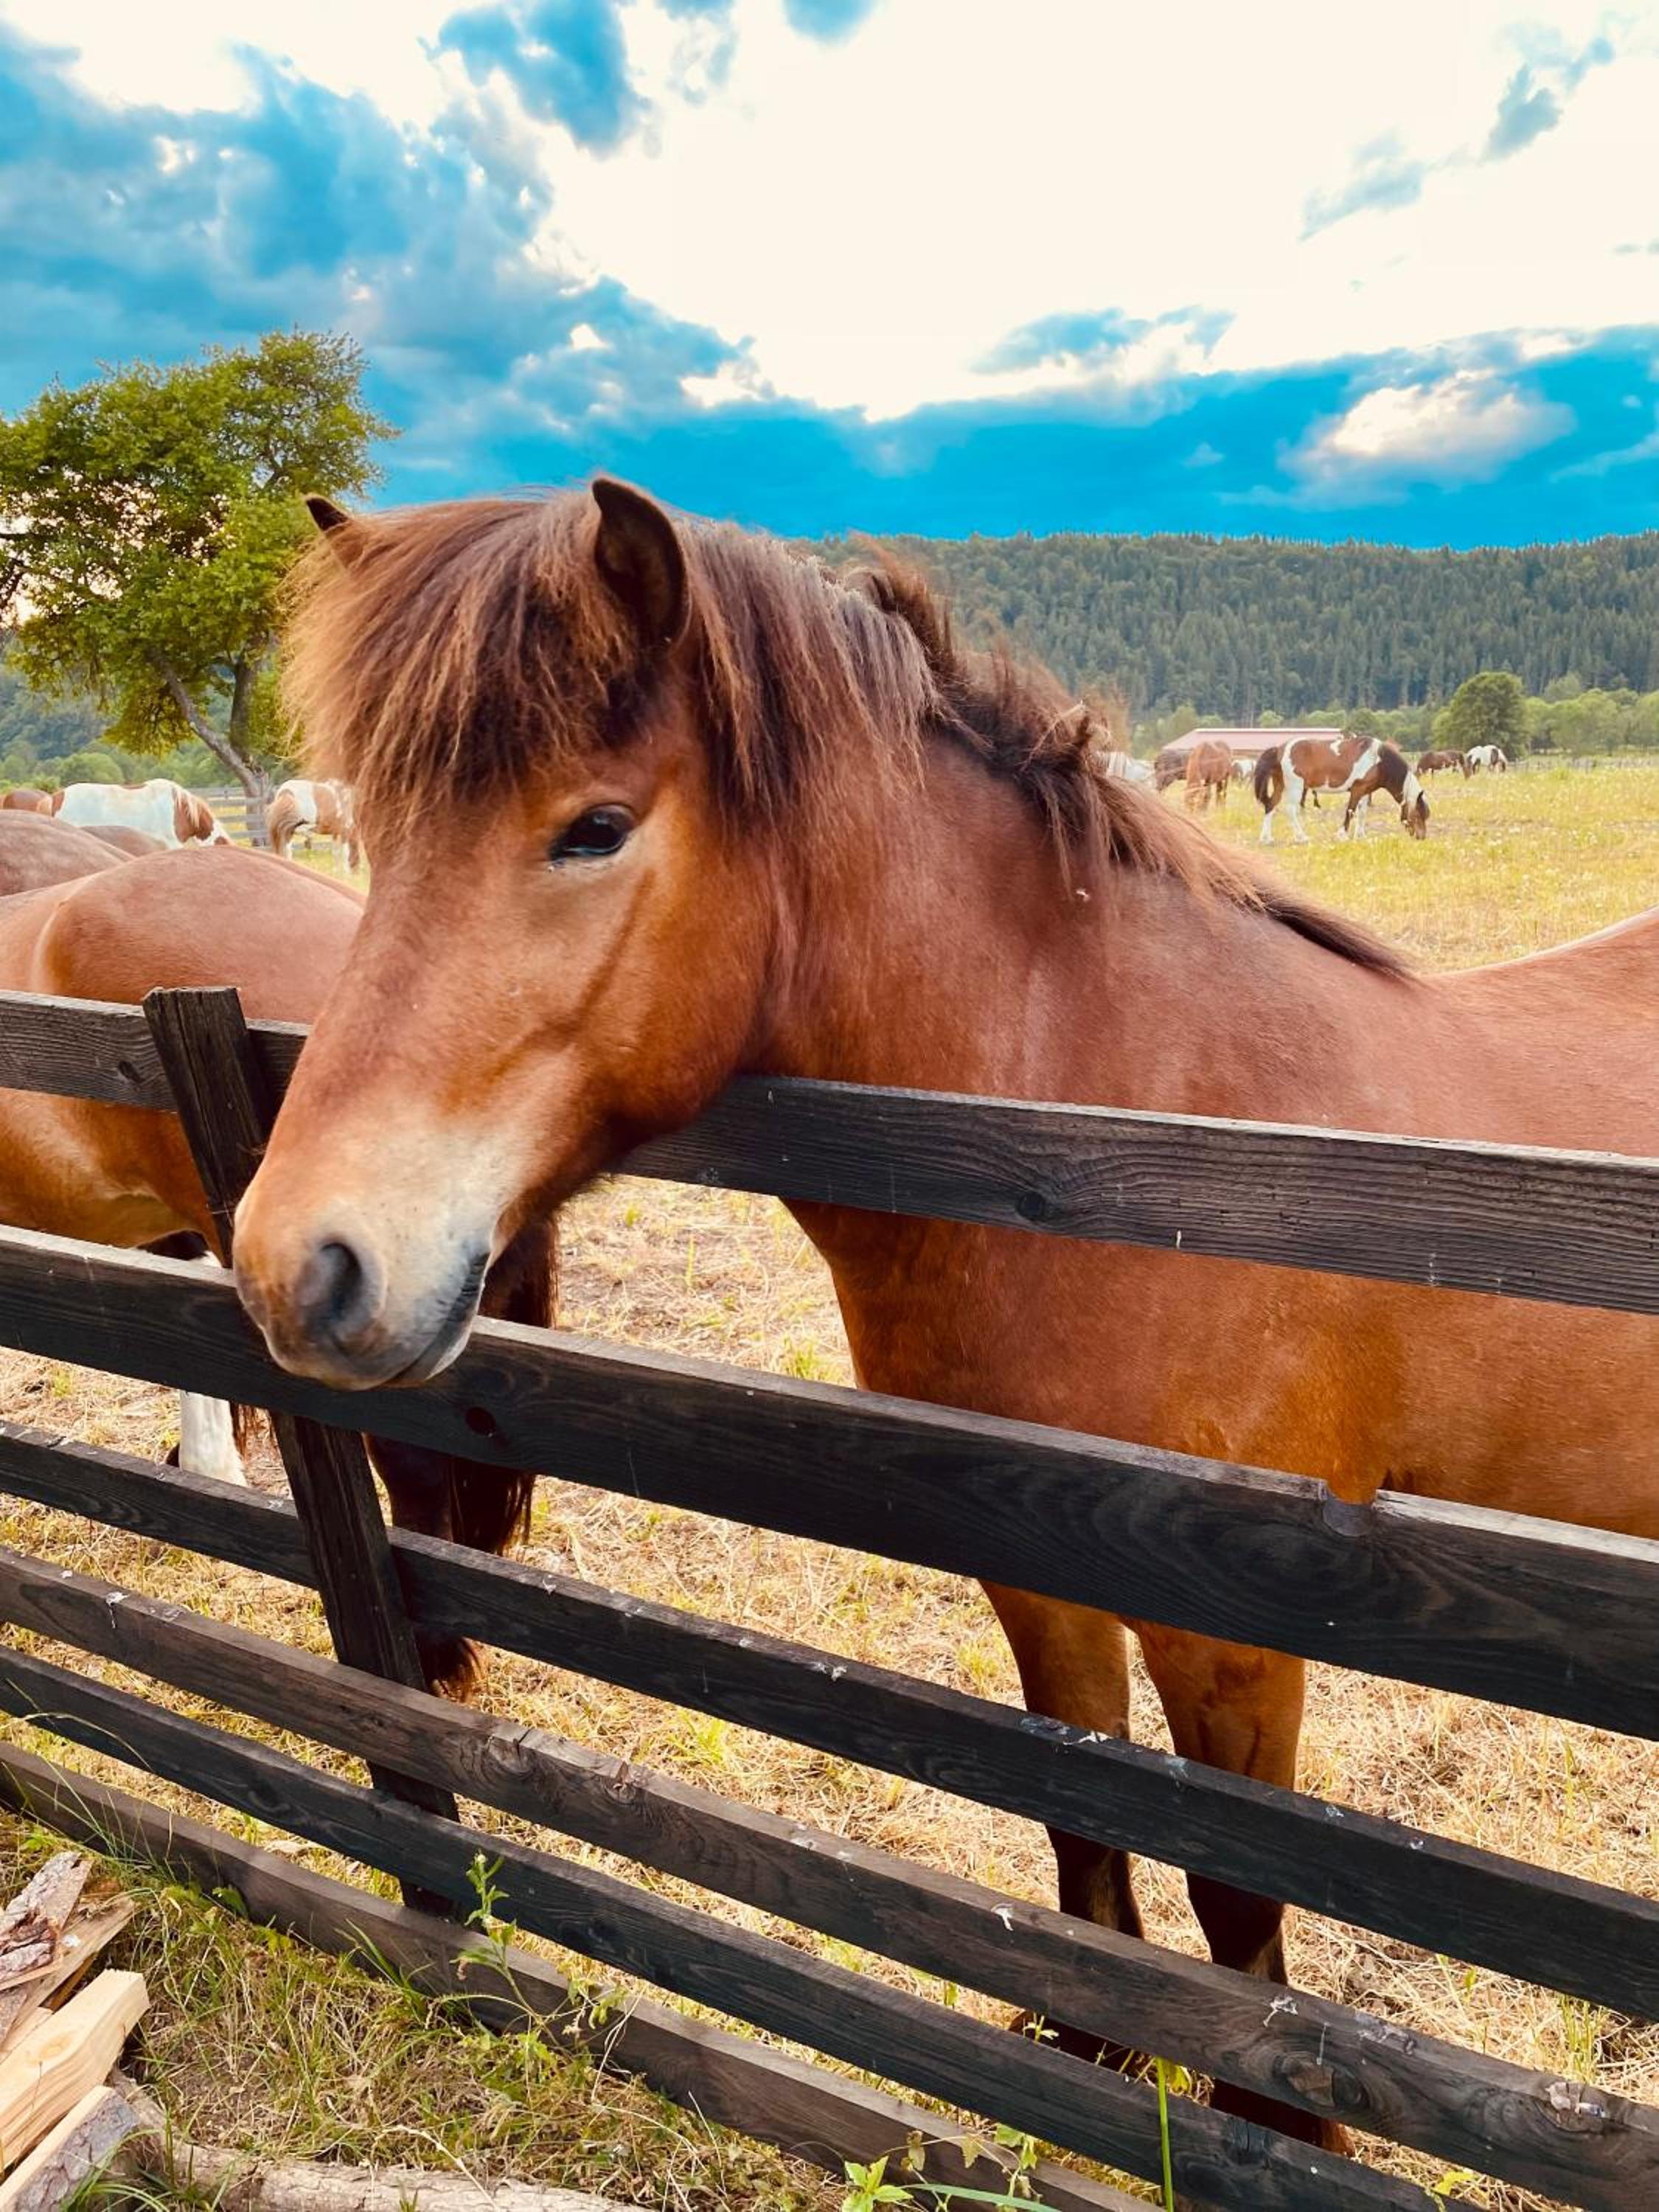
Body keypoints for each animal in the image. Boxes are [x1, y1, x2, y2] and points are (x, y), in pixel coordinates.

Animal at [1255, 731, 1428, 843]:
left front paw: (1361, 836)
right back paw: (1301, 837)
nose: (1421, 837)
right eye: (1417, 815)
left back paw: (1266, 838)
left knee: (1270, 805)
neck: (1378, 760)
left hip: (1280, 785)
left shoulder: (1366, 792)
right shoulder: (1357, 789)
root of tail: (1280, 749)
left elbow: (1362, 813)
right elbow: (1350, 811)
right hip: (1295, 787)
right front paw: (1343, 835)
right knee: (1290, 810)